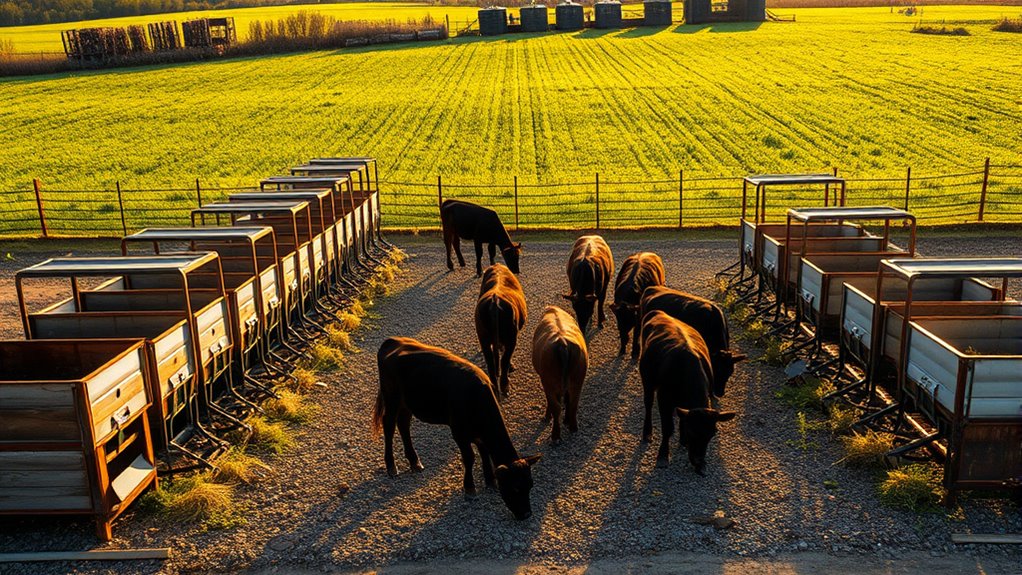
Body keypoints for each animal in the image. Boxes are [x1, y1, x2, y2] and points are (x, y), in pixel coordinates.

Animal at [373, 337, 541, 520]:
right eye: (515, 488)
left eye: (531, 485)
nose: (527, 514)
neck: (476, 398)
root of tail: (392, 341)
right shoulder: (459, 433)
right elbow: (469, 457)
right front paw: (470, 488)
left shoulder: (478, 434)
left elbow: (484, 453)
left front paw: (490, 481)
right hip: (391, 397)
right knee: (389, 425)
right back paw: (391, 466)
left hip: (407, 403)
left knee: (403, 424)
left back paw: (415, 462)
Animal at [531, 306, 589, 444]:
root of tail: (563, 343)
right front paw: (566, 419)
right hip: (577, 382)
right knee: (573, 402)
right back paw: (573, 426)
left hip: (550, 383)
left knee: (556, 407)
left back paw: (555, 435)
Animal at [638, 311, 736, 474]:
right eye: (692, 431)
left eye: (712, 434)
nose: (698, 461)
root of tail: (659, 313)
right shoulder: (664, 399)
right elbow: (667, 428)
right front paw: (663, 455)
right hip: (647, 378)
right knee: (648, 403)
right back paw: (647, 432)